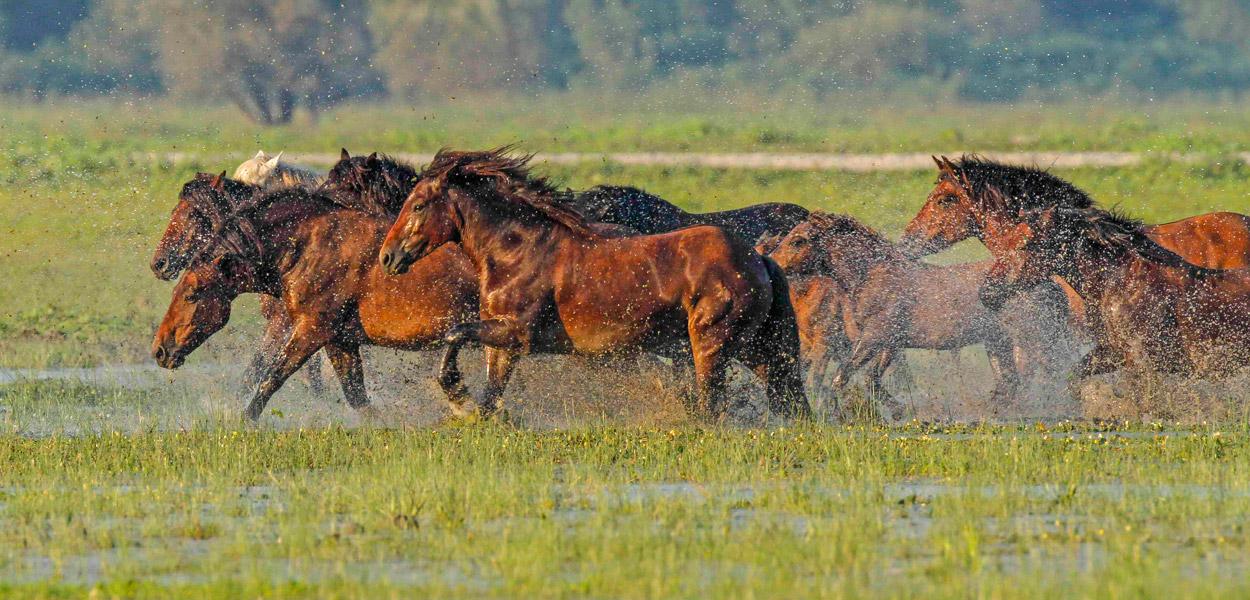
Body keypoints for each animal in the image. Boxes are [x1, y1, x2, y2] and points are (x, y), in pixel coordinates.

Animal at [147, 177, 477, 422]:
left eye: (192, 294)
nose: (159, 350)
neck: (309, 246)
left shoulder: (311, 331)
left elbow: (269, 378)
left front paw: (241, 421)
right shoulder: (339, 341)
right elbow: (357, 397)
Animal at [375, 148, 815, 422]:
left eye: (417, 204)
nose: (387, 257)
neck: (517, 251)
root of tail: (758, 258)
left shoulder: (515, 333)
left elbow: (454, 335)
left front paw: (457, 397)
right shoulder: (501, 340)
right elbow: (491, 390)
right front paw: (477, 411)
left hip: (711, 343)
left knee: (713, 404)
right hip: (754, 347)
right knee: (788, 398)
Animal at [765, 212, 1070, 417]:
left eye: (798, 240)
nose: (772, 263)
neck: (871, 276)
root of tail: (1052, 284)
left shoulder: (875, 337)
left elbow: (841, 378)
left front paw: (840, 414)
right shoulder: (889, 342)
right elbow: (871, 379)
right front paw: (899, 410)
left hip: (1034, 339)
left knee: (1053, 373)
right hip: (998, 342)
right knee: (1011, 383)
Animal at [975, 206, 1250, 382]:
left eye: (1025, 244)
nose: (987, 291)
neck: (1123, 283)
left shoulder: (1141, 359)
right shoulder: (1112, 352)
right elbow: (1074, 379)